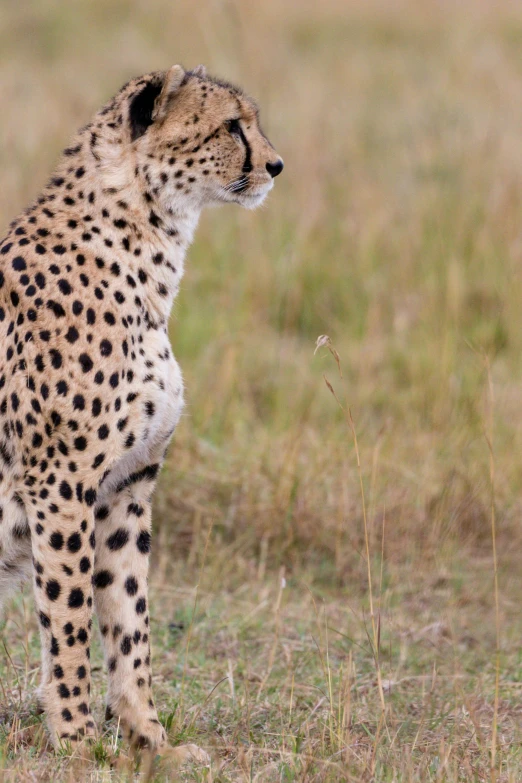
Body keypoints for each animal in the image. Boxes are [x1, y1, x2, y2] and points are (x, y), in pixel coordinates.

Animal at [0, 64, 282, 752]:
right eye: (232, 126)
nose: (276, 165)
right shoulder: (60, 483)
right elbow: (70, 616)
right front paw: (77, 740)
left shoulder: (128, 484)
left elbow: (129, 618)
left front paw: (148, 738)